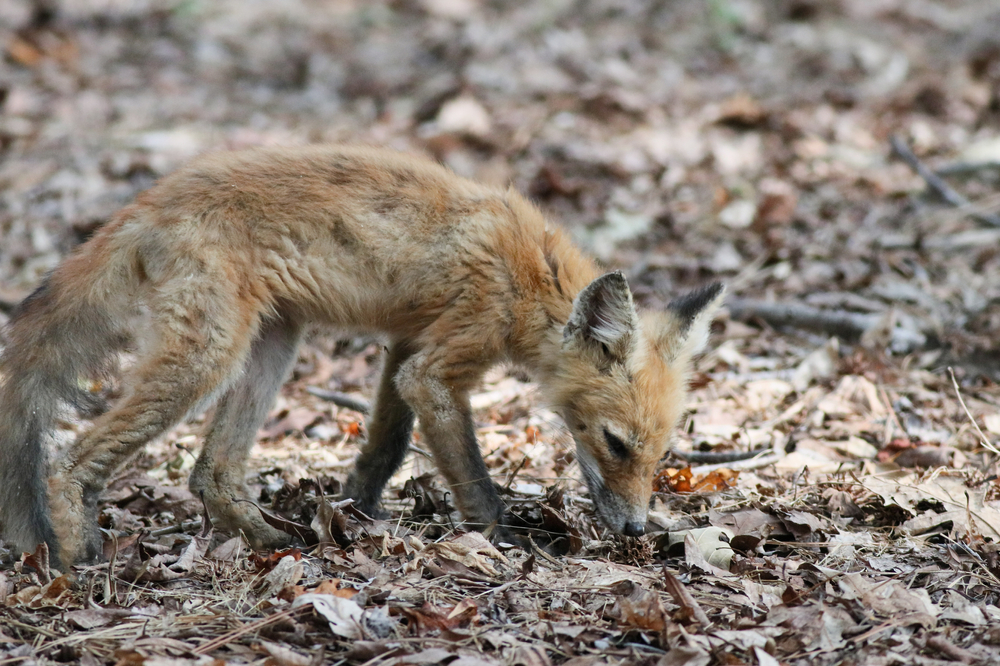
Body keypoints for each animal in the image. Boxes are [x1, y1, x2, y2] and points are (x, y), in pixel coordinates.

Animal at [0, 144, 724, 564]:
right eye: (616, 444)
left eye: (661, 454)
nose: (637, 530)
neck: (529, 276)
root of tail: (147, 201)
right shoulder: (440, 362)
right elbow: (472, 474)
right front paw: (501, 540)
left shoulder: (408, 343)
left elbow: (385, 443)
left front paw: (360, 512)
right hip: (207, 359)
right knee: (71, 460)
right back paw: (75, 557)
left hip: (272, 345)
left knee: (209, 472)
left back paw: (273, 542)